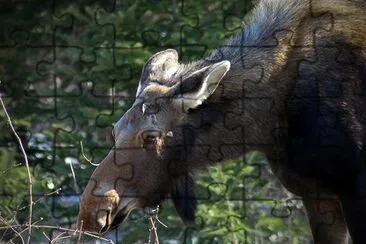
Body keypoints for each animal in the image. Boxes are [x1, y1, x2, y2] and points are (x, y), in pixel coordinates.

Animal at [78, 0, 366, 242]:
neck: (270, 126)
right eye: (114, 131)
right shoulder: (315, 194)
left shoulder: (353, 187)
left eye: (151, 136)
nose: (92, 209)